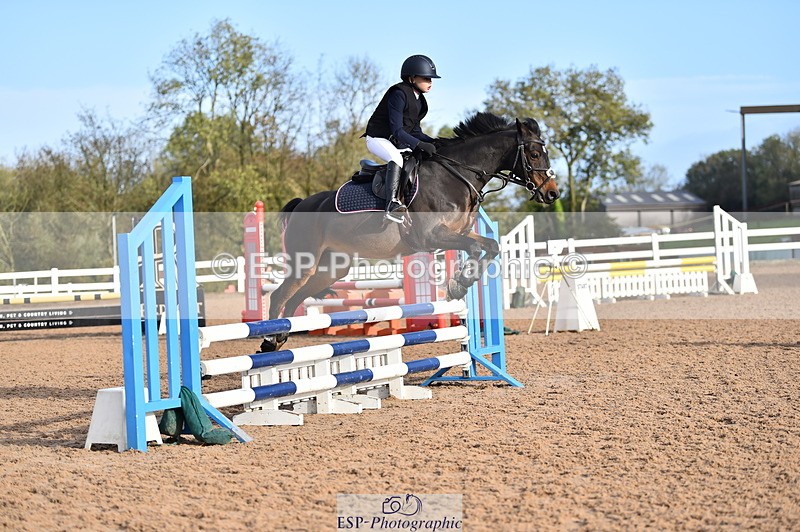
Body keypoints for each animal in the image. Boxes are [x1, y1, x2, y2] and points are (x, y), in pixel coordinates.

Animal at [261, 112, 559, 352]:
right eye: (534, 154)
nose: (552, 193)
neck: (456, 175)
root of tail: (301, 204)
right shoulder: (431, 236)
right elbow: (476, 249)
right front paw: (458, 284)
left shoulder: (459, 233)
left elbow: (490, 246)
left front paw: (460, 283)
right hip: (307, 262)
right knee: (279, 296)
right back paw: (268, 340)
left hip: (331, 268)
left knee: (295, 297)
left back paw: (280, 338)